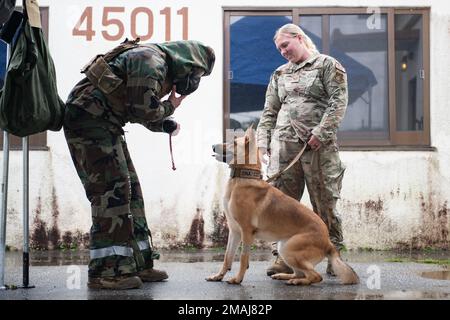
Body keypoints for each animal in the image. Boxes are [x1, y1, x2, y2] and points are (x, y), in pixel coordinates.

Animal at [207, 125, 358, 284]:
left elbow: (243, 258)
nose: (212, 146)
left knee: (315, 276)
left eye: (234, 143)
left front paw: (238, 279)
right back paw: (283, 275)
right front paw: (218, 276)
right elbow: (227, 257)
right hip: (283, 247)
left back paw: (297, 281)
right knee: (300, 273)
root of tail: (328, 242)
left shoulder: (246, 232)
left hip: (289, 249)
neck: (243, 177)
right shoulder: (234, 231)